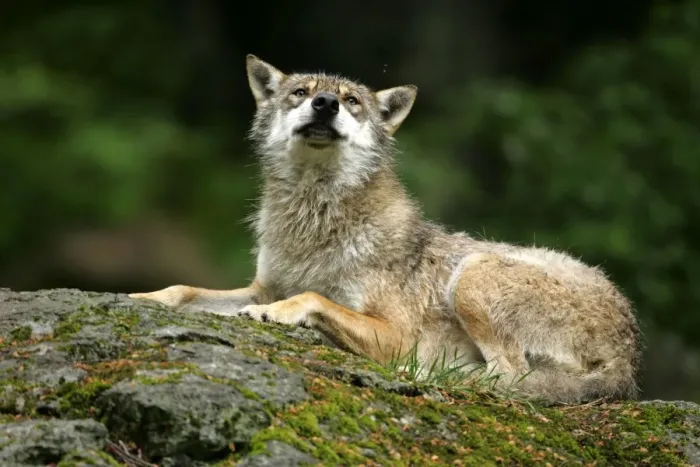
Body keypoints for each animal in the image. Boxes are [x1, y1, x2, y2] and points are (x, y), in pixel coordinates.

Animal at [130, 54, 642, 405]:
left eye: (352, 102)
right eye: (300, 92)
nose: (325, 104)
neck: (313, 224)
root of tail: (630, 353)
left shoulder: (396, 335)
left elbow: (313, 298)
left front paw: (278, 314)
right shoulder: (262, 285)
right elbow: (185, 290)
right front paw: (143, 297)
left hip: (473, 275)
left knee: (510, 375)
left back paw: (431, 376)